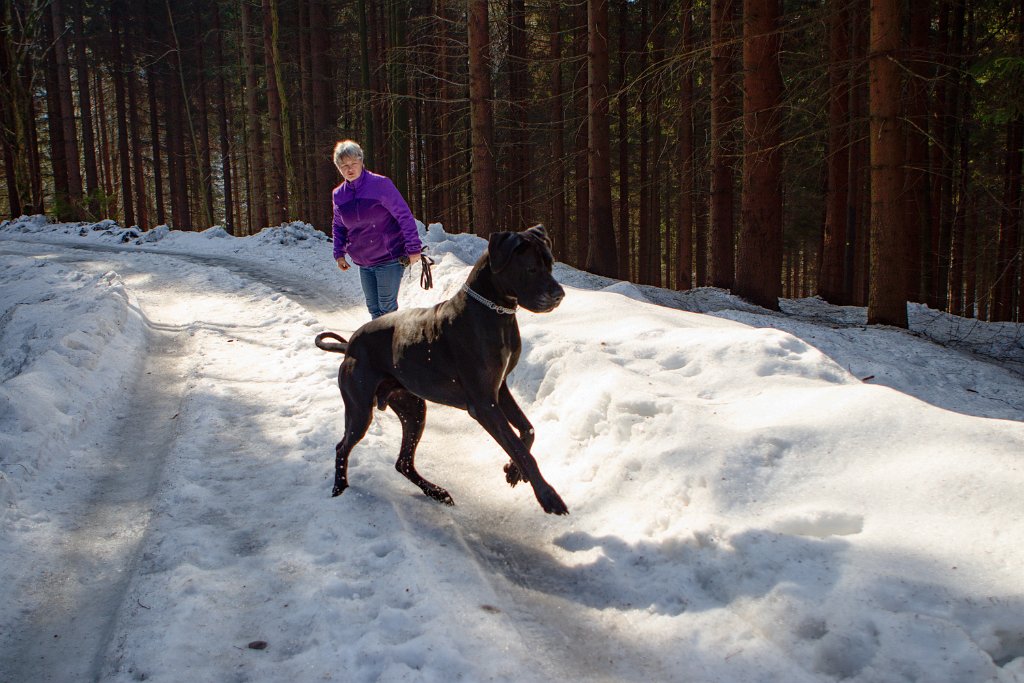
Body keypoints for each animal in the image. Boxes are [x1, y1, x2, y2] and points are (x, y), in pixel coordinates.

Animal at [313, 227, 569, 516]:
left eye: (550, 264)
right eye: (531, 268)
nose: (559, 295)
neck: (494, 312)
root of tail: (349, 345)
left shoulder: (499, 389)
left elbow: (528, 431)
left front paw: (513, 472)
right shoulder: (484, 404)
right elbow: (519, 448)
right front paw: (548, 496)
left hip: (413, 408)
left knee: (403, 462)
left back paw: (437, 492)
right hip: (359, 409)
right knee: (342, 446)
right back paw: (340, 488)